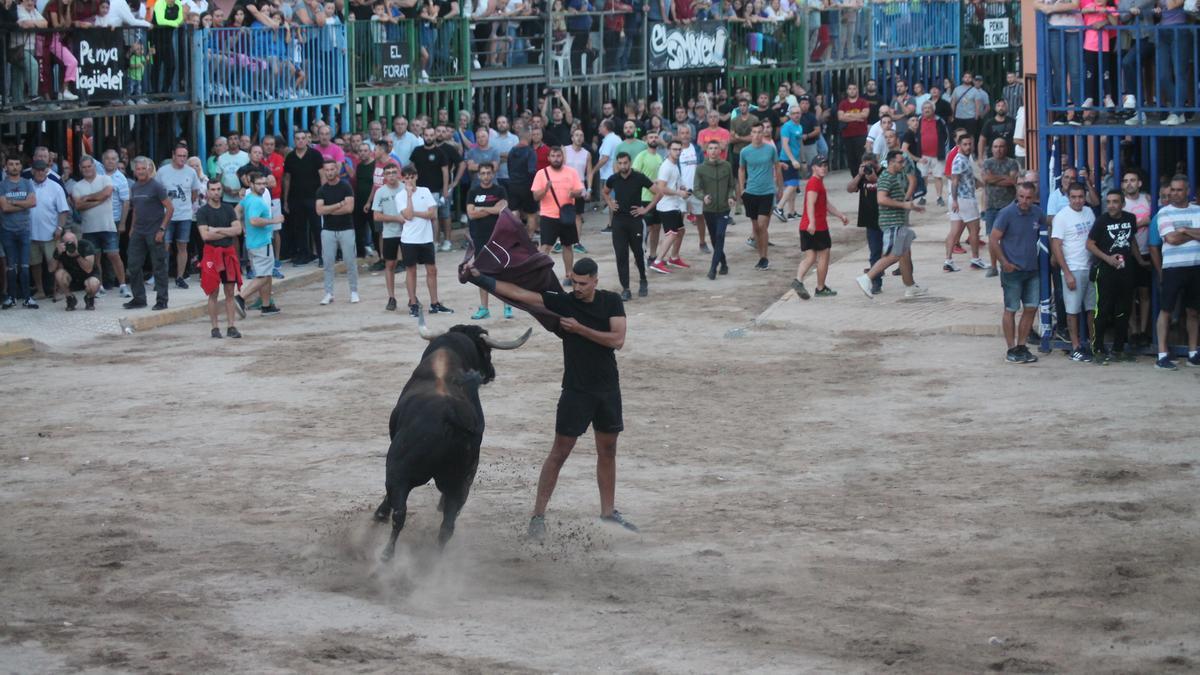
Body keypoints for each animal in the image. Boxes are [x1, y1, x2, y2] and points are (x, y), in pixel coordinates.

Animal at [369, 317, 530, 559]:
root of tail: (450, 416)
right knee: (447, 525)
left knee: (400, 512)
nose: (491, 372)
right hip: (461, 480)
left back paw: (386, 552)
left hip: (399, 469)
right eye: (487, 352)